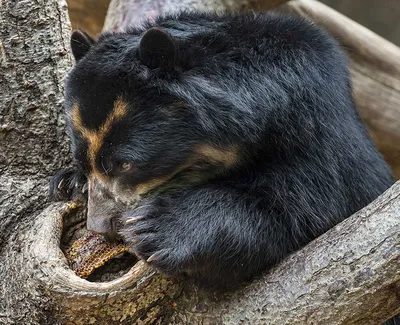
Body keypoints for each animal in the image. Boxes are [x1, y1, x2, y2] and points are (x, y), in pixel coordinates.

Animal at [49, 10, 394, 294]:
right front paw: (68, 182)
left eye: (125, 164)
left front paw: (155, 230)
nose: (100, 226)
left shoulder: (315, 128)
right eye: (83, 160)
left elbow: (302, 204)